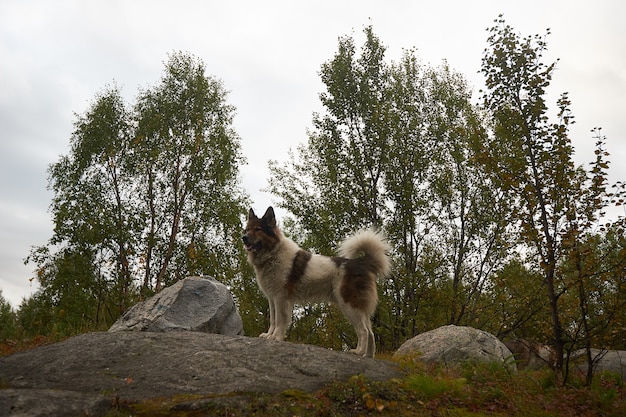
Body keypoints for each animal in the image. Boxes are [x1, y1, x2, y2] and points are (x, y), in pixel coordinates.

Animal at [241, 206, 388, 356]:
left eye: (258, 229)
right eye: (247, 229)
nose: (244, 238)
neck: (272, 254)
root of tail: (361, 262)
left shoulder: (281, 298)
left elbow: (280, 321)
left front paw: (276, 337)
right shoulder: (272, 298)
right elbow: (273, 320)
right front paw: (268, 335)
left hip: (349, 305)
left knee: (363, 331)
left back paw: (358, 352)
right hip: (358, 308)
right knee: (370, 333)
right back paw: (368, 356)